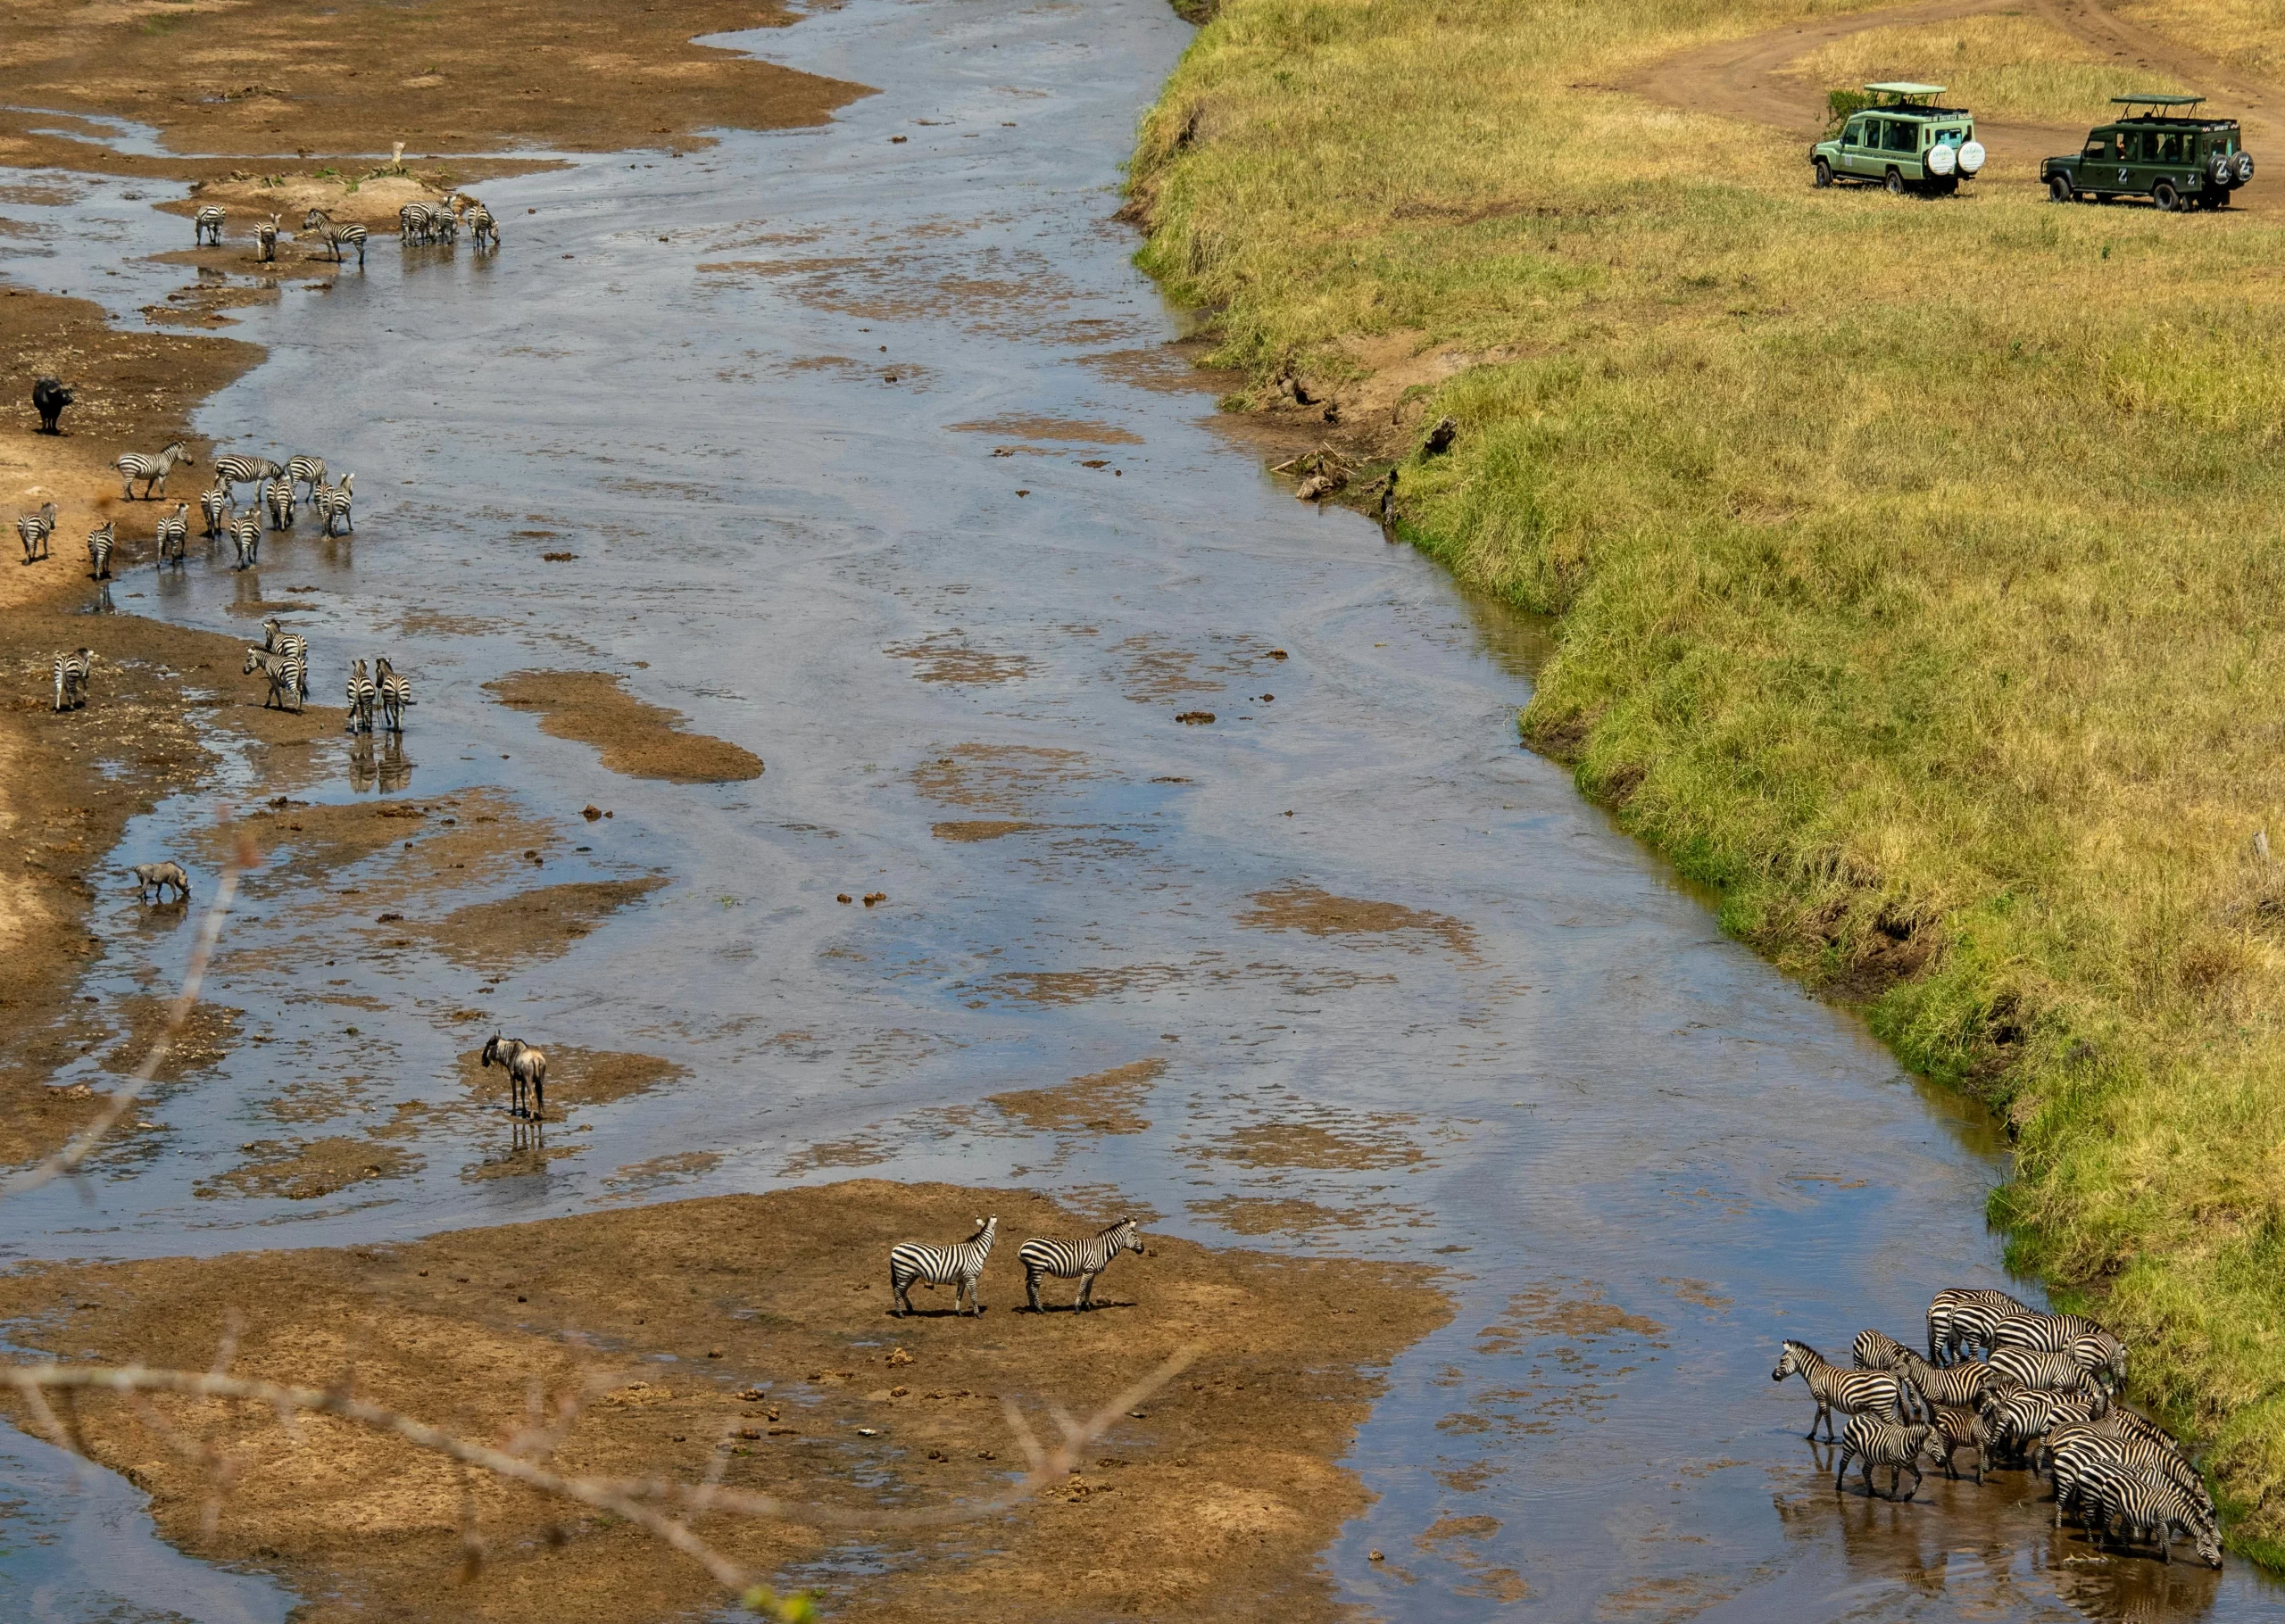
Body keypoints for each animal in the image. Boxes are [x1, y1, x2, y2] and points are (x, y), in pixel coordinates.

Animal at [1018, 1214, 1142, 1315]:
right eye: (1135, 1235)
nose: (1143, 1249)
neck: (1101, 1250)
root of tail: (1024, 1245)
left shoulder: (1092, 1272)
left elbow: (1089, 1289)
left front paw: (1087, 1306)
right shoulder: (1088, 1270)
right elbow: (1082, 1288)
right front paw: (1077, 1307)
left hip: (1033, 1268)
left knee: (1028, 1285)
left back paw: (1033, 1308)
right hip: (1038, 1267)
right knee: (1034, 1287)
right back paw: (1041, 1309)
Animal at [1773, 1343, 1919, 1443]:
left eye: (1782, 1360)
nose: (1772, 1376)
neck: (1816, 1373)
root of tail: (1893, 1379)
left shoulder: (1822, 1398)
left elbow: (1827, 1419)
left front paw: (1829, 1439)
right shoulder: (1822, 1399)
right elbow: (1817, 1417)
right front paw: (1811, 1435)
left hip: (1882, 1407)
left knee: (1897, 1425)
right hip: (1884, 1407)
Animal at [2083, 1453, 2221, 1571]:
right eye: (2202, 1496)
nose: (2221, 1564)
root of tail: (2089, 1465)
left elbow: (2165, 1537)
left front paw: (2160, 1551)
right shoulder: (2154, 1512)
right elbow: (2161, 1536)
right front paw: (2162, 1554)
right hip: (2094, 1498)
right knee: (2094, 1520)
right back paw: (2094, 1542)